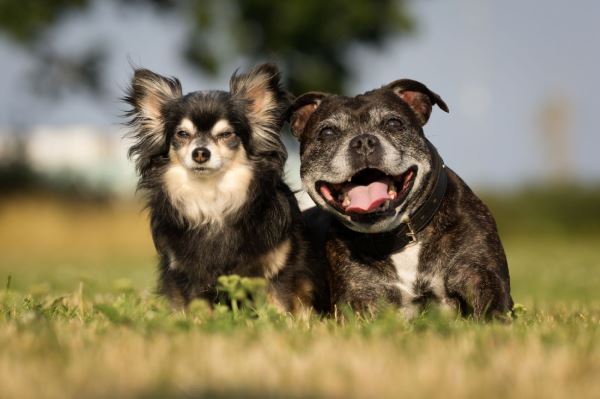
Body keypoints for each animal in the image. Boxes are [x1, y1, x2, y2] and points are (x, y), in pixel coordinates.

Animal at [123, 64, 326, 314]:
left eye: (226, 134)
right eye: (183, 134)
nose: (200, 152)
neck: (212, 196)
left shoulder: (276, 267)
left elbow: (278, 304)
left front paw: (280, 321)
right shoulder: (188, 275)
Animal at [290, 79, 510, 320]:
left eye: (393, 123)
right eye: (327, 132)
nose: (363, 141)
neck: (401, 237)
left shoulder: (482, 276)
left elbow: (493, 314)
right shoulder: (357, 300)